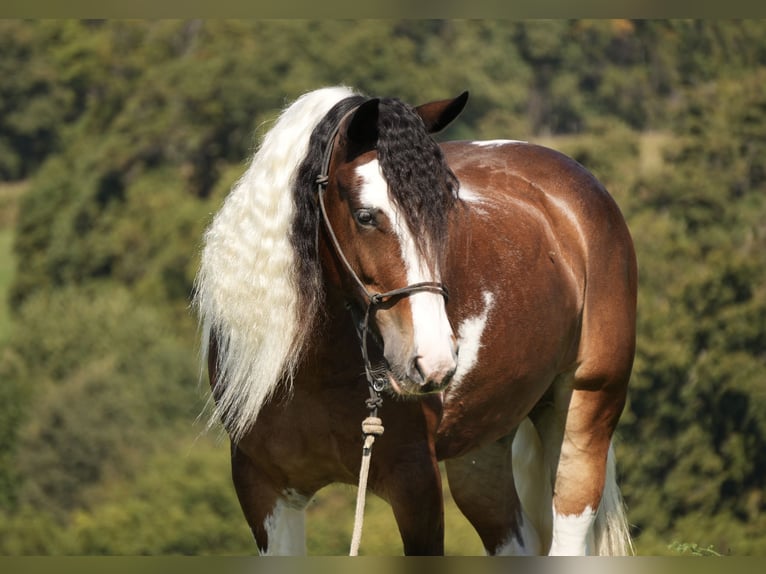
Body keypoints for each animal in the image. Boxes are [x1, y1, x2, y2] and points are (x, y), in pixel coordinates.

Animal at [193, 86, 637, 556]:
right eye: (365, 215)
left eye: (446, 211)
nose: (434, 362)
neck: (315, 371)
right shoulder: (265, 490)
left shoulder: (416, 484)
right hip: (482, 451)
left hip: (586, 412)